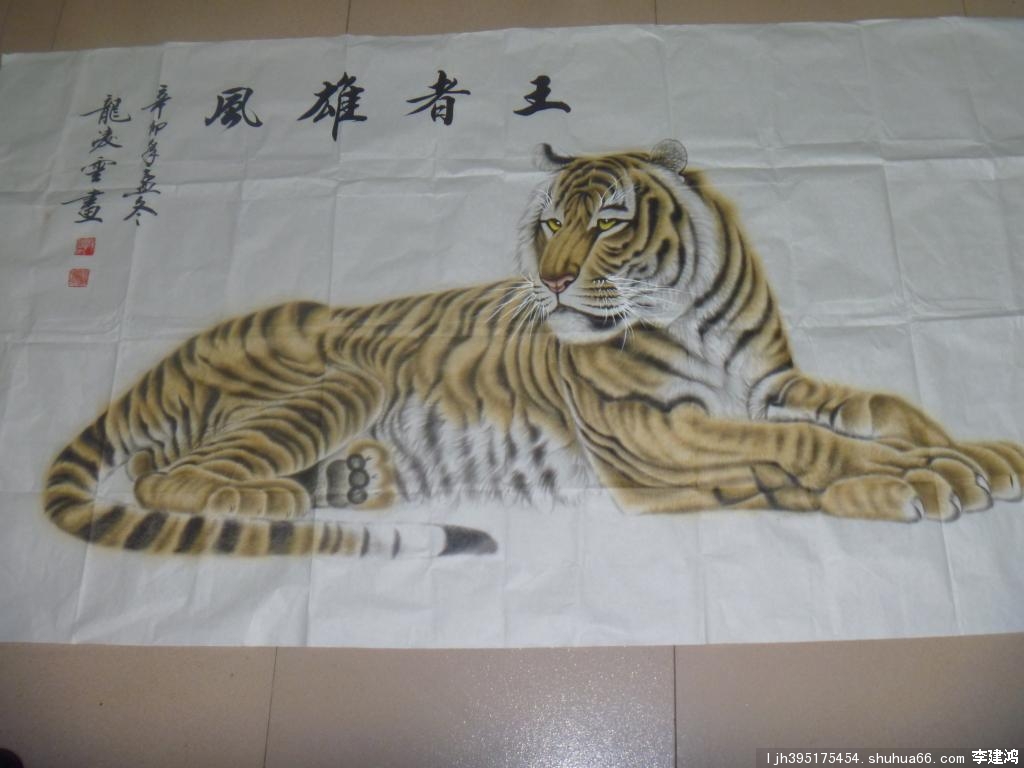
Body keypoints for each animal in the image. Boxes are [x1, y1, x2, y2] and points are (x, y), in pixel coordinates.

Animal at [42, 140, 1024, 558]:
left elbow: (882, 409)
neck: (692, 314)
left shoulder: (767, 385)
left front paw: (975, 456)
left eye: (609, 227)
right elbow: (805, 451)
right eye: (551, 224)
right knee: (169, 479)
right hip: (341, 378)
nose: (551, 283)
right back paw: (281, 495)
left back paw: (348, 480)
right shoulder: (660, 434)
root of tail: (152, 371)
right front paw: (918, 482)